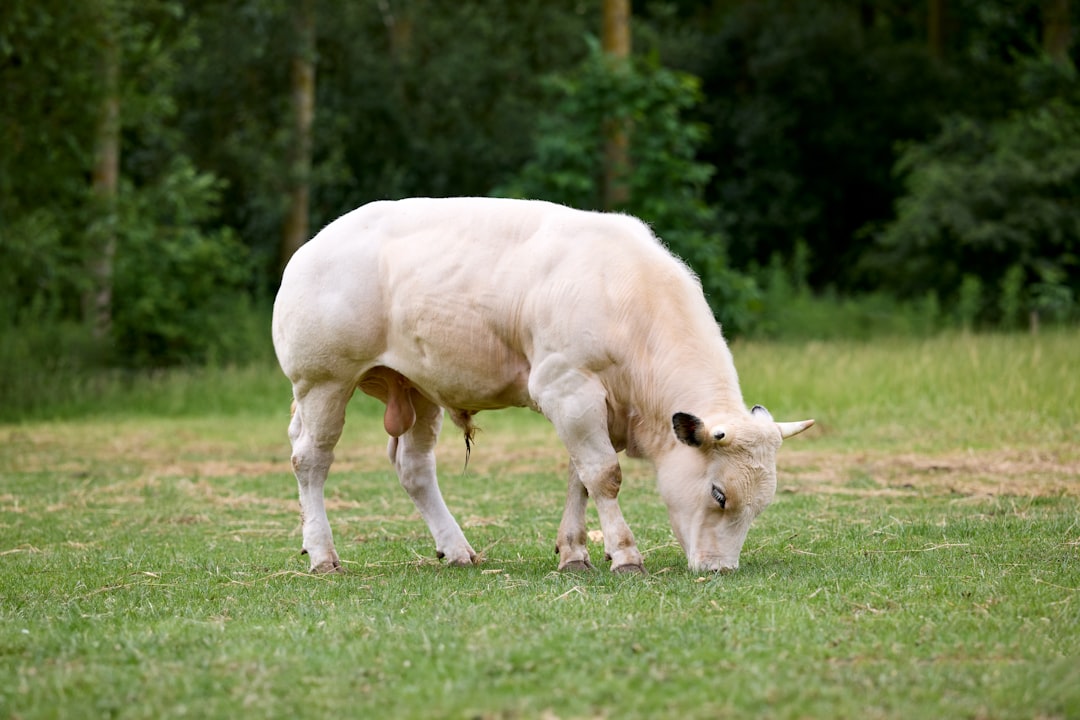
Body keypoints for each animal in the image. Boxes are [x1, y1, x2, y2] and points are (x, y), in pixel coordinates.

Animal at [272, 197, 813, 575]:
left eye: (762, 505)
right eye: (719, 494)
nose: (720, 570)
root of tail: (313, 245)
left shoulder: (594, 407)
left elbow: (581, 477)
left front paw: (574, 553)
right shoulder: (567, 388)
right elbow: (604, 475)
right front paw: (625, 555)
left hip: (418, 389)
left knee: (414, 468)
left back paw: (457, 548)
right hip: (323, 382)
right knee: (310, 461)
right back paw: (322, 554)